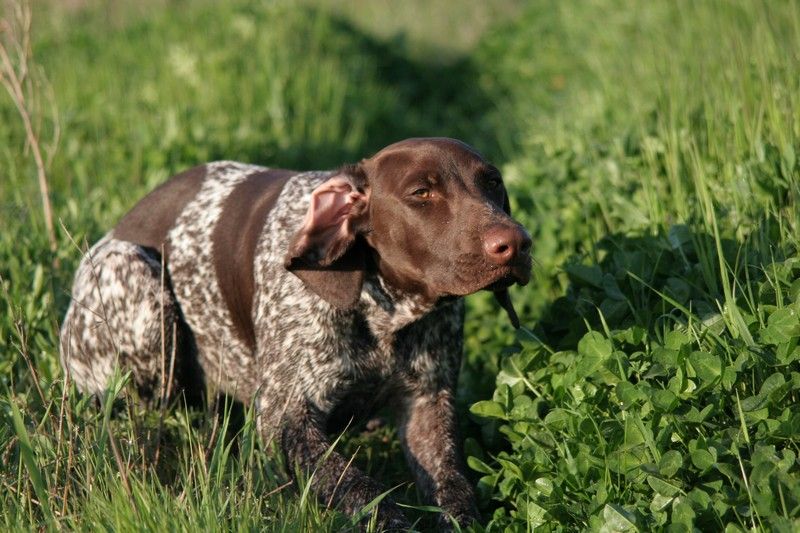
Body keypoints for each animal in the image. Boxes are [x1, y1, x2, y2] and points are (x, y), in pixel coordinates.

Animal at [61, 138, 532, 528]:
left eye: (493, 183)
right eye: (421, 193)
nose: (517, 243)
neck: (386, 314)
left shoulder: (429, 406)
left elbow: (454, 488)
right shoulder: (285, 418)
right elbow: (357, 486)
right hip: (138, 283)